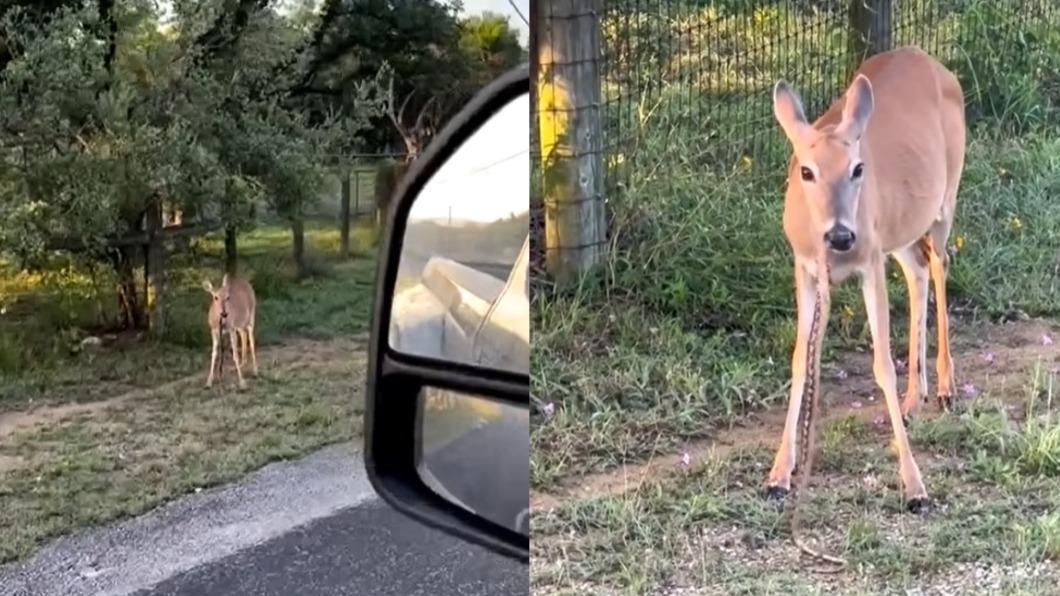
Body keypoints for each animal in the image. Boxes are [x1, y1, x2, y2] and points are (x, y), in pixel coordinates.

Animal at [765, 46, 965, 566]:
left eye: (857, 169)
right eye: (806, 170)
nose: (840, 235)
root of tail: (931, 60)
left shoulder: (869, 260)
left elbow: (881, 366)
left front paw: (916, 487)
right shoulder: (805, 267)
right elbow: (800, 361)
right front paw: (778, 475)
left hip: (945, 197)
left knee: (940, 264)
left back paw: (945, 387)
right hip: (900, 229)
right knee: (918, 270)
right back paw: (916, 398)